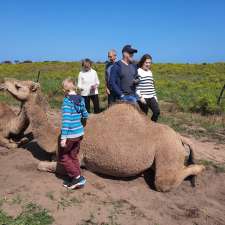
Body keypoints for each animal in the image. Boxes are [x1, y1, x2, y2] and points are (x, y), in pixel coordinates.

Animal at [0, 78, 205, 192]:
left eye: (18, 86)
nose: (3, 83)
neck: (54, 135)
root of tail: (179, 137)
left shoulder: (74, 158)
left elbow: (41, 165)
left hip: (167, 150)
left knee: (165, 183)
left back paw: (200, 169)